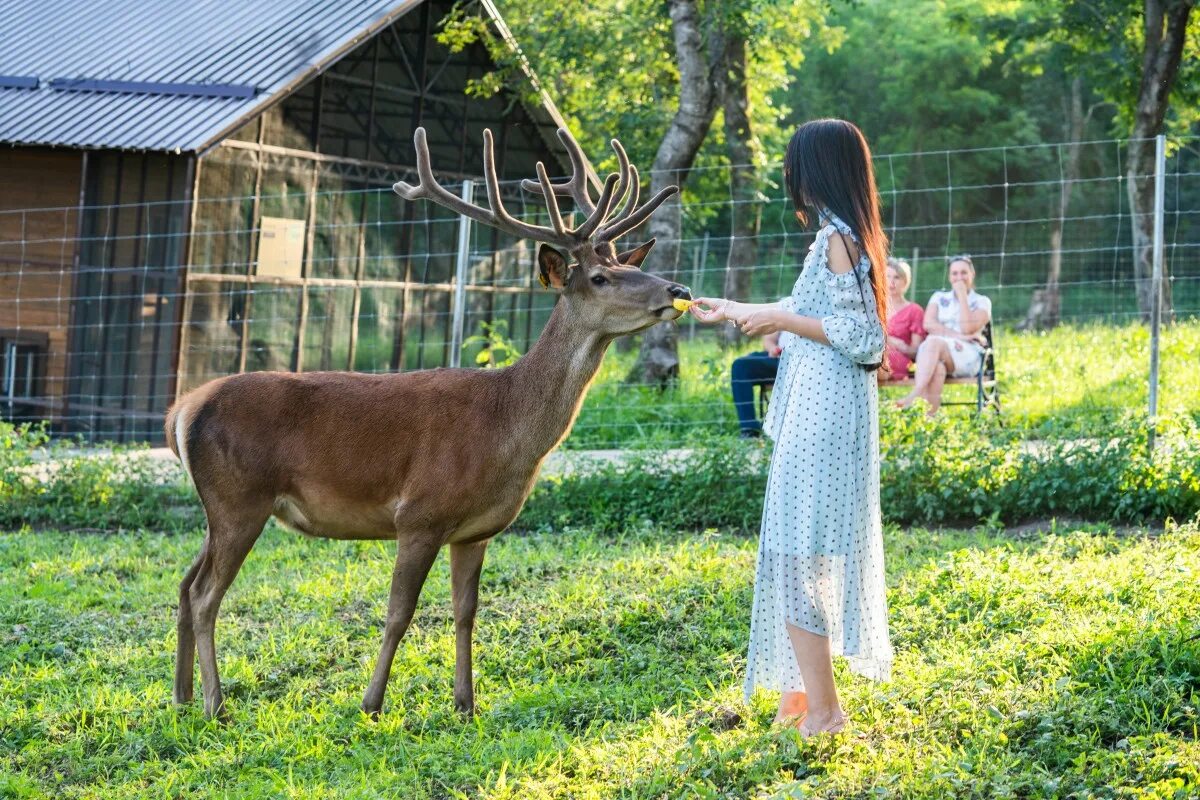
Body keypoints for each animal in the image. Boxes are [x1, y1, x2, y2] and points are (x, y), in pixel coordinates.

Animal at [163, 125, 691, 719]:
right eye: (601, 277)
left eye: (633, 265)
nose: (678, 291)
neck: (507, 429)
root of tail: (183, 410)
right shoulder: (419, 514)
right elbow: (399, 613)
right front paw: (371, 703)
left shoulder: (476, 530)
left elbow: (466, 612)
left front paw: (466, 703)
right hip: (239, 499)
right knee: (205, 594)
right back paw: (215, 703)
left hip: (218, 508)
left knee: (184, 585)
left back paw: (182, 696)